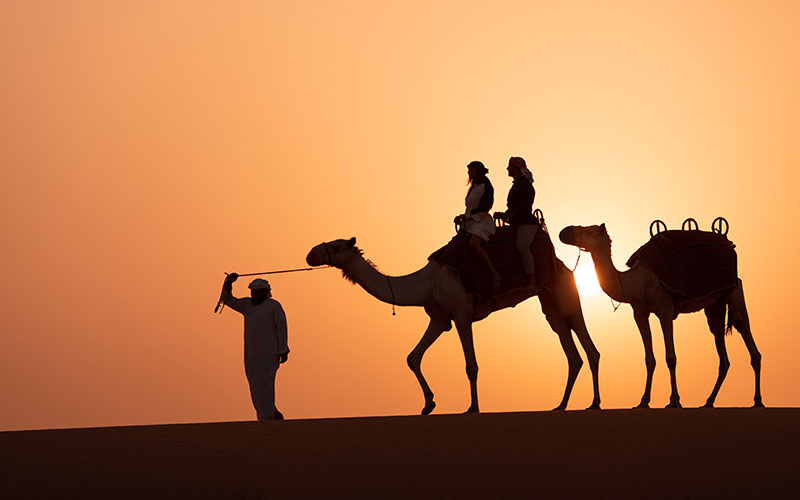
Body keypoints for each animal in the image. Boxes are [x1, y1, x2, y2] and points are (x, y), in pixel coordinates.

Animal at [306, 236, 600, 416]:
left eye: (336, 245)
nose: (310, 254)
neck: (426, 284)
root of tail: (565, 267)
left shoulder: (461, 314)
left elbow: (471, 365)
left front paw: (473, 407)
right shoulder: (439, 319)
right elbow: (413, 357)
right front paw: (428, 404)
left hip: (566, 295)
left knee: (588, 346)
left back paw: (594, 403)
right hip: (549, 301)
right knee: (569, 347)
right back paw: (561, 405)